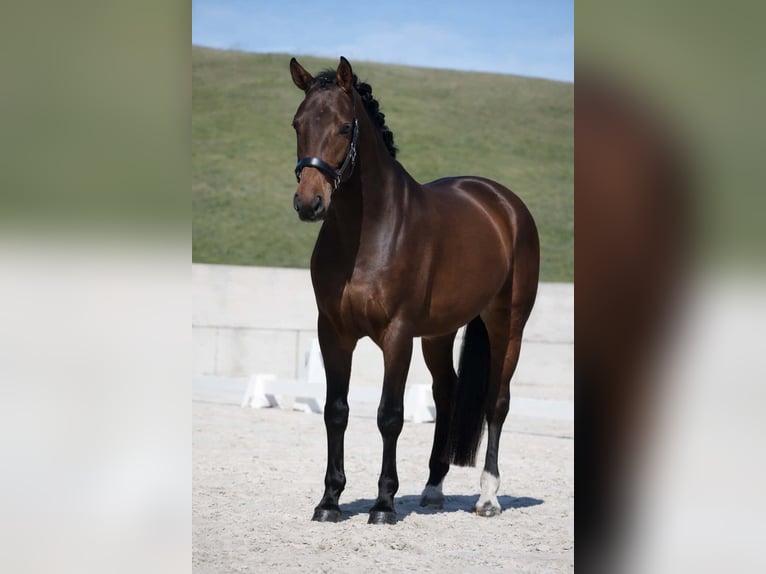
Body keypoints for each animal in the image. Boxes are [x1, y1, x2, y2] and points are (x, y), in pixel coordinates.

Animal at [289, 56, 540, 524]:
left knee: (497, 402)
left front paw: (383, 504)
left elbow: (390, 415)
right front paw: (329, 501)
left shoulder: (398, 334)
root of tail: (504, 202)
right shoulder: (332, 332)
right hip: (438, 334)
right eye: (297, 123)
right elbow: (336, 412)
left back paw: (488, 497)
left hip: (507, 325)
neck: (368, 232)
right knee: (448, 392)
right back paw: (434, 487)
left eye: (344, 127)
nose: (309, 203)